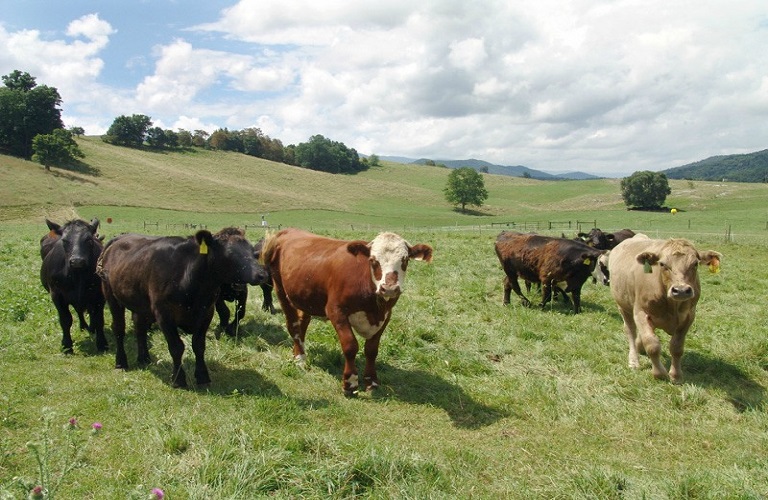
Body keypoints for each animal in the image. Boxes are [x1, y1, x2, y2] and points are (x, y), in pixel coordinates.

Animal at [39, 218, 107, 352]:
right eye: (64, 240)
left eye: (89, 239)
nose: (77, 261)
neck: (77, 275)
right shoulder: (57, 295)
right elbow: (65, 320)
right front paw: (67, 346)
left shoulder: (98, 296)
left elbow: (98, 319)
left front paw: (102, 343)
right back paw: (84, 326)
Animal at [98, 227, 270, 386]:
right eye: (230, 253)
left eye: (254, 253)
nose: (262, 275)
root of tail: (119, 238)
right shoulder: (164, 314)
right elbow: (176, 347)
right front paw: (178, 379)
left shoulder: (206, 312)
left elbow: (199, 345)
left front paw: (202, 376)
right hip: (111, 297)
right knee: (119, 329)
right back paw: (121, 362)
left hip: (140, 304)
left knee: (140, 328)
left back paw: (144, 358)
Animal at [262, 229, 432, 396]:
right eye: (373, 260)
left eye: (405, 260)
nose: (389, 288)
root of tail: (286, 231)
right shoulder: (336, 312)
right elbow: (350, 346)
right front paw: (350, 383)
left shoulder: (385, 316)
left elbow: (371, 350)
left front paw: (371, 381)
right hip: (281, 290)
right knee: (293, 326)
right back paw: (300, 358)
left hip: (305, 297)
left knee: (302, 324)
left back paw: (298, 351)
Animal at [608, 234, 724, 382]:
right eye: (662, 264)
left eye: (695, 264)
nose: (681, 290)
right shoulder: (640, 312)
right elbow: (652, 344)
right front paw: (660, 373)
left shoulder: (689, 316)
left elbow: (676, 347)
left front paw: (676, 375)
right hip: (623, 306)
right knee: (630, 331)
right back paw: (634, 360)